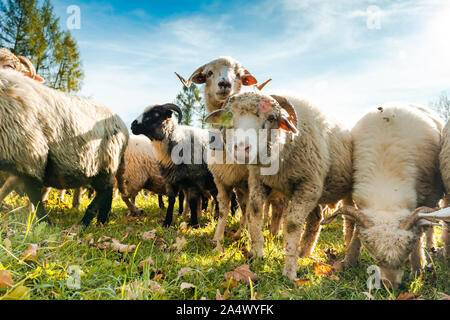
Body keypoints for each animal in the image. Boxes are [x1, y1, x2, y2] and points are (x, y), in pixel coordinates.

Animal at [0, 69, 128, 226]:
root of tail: (122, 124)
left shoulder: (30, 157)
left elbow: (35, 197)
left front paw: (45, 223)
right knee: (107, 191)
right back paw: (101, 221)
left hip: (105, 162)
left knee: (105, 190)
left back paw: (86, 222)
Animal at [176, 57, 284, 248]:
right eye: (209, 73)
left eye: (238, 74)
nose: (225, 83)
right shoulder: (225, 180)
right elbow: (228, 209)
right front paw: (219, 238)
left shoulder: (248, 181)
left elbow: (249, 210)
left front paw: (248, 237)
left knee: (278, 205)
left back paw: (275, 233)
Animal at [206, 92, 354, 280]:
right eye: (230, 115)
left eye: (271, 117)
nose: (241, 148)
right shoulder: (258, 180)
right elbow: (254, 212)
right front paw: (257, 253)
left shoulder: (308, 185)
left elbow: (291, 224)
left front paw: (289, 271)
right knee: (315, 218)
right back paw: (304, 253)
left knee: (350, 220)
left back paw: (348, 250)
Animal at [322, 104, 444, 288]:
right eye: (376, 257)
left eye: (405, 255)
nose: (390, 286)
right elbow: (356, 234)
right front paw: (348, 261)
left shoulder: (428, 194)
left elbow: (421, 232)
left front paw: (417, 268)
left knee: (429, 226)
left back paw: (431, 248)